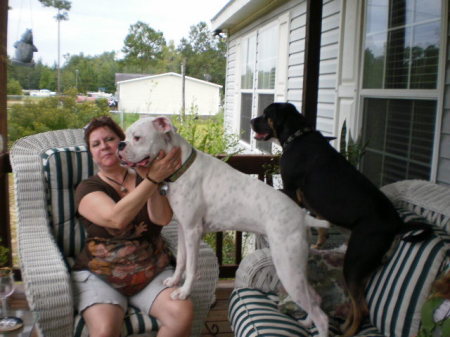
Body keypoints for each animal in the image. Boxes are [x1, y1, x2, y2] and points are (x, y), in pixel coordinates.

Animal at [118, 116, 330, 336]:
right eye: (125, 136)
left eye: (137, 137)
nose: (120, 145)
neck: (182, 167)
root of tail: (302, 216)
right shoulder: (184, 230)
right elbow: (182, 261)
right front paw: (174, 281)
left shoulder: (193, 232)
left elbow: (191, 267)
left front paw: (184, 292)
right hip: (296, 269)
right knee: (315, 300)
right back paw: (306, 323)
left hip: (288, 269)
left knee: (321, 316)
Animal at [251, 101, 430, 336]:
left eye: (266, 114)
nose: (251, 121)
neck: (297, 135)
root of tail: (397, 223)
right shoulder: (315, 205)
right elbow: (322, 229)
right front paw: (317, 244)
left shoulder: (290, 190)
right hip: (364, 269)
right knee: (358, 303)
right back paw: (344, 324)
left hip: (354, 261)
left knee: (362, 309)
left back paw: (346, 331)